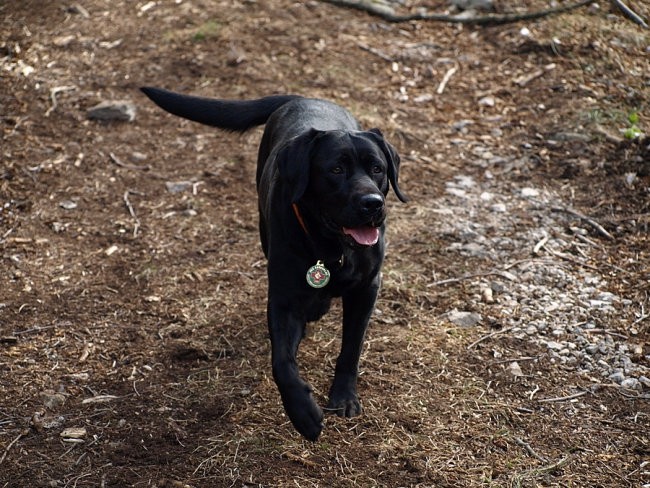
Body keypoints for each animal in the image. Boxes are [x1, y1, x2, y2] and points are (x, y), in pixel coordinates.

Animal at [140, 86, 404, 440]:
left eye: (377, 169)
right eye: (336, 170)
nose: (372, 203)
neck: (330, 247)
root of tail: (300, 98)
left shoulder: (366, 288)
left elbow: (351, 347)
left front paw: (344, 397)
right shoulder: (283, 297)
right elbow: (282, 361)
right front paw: (303, 414)